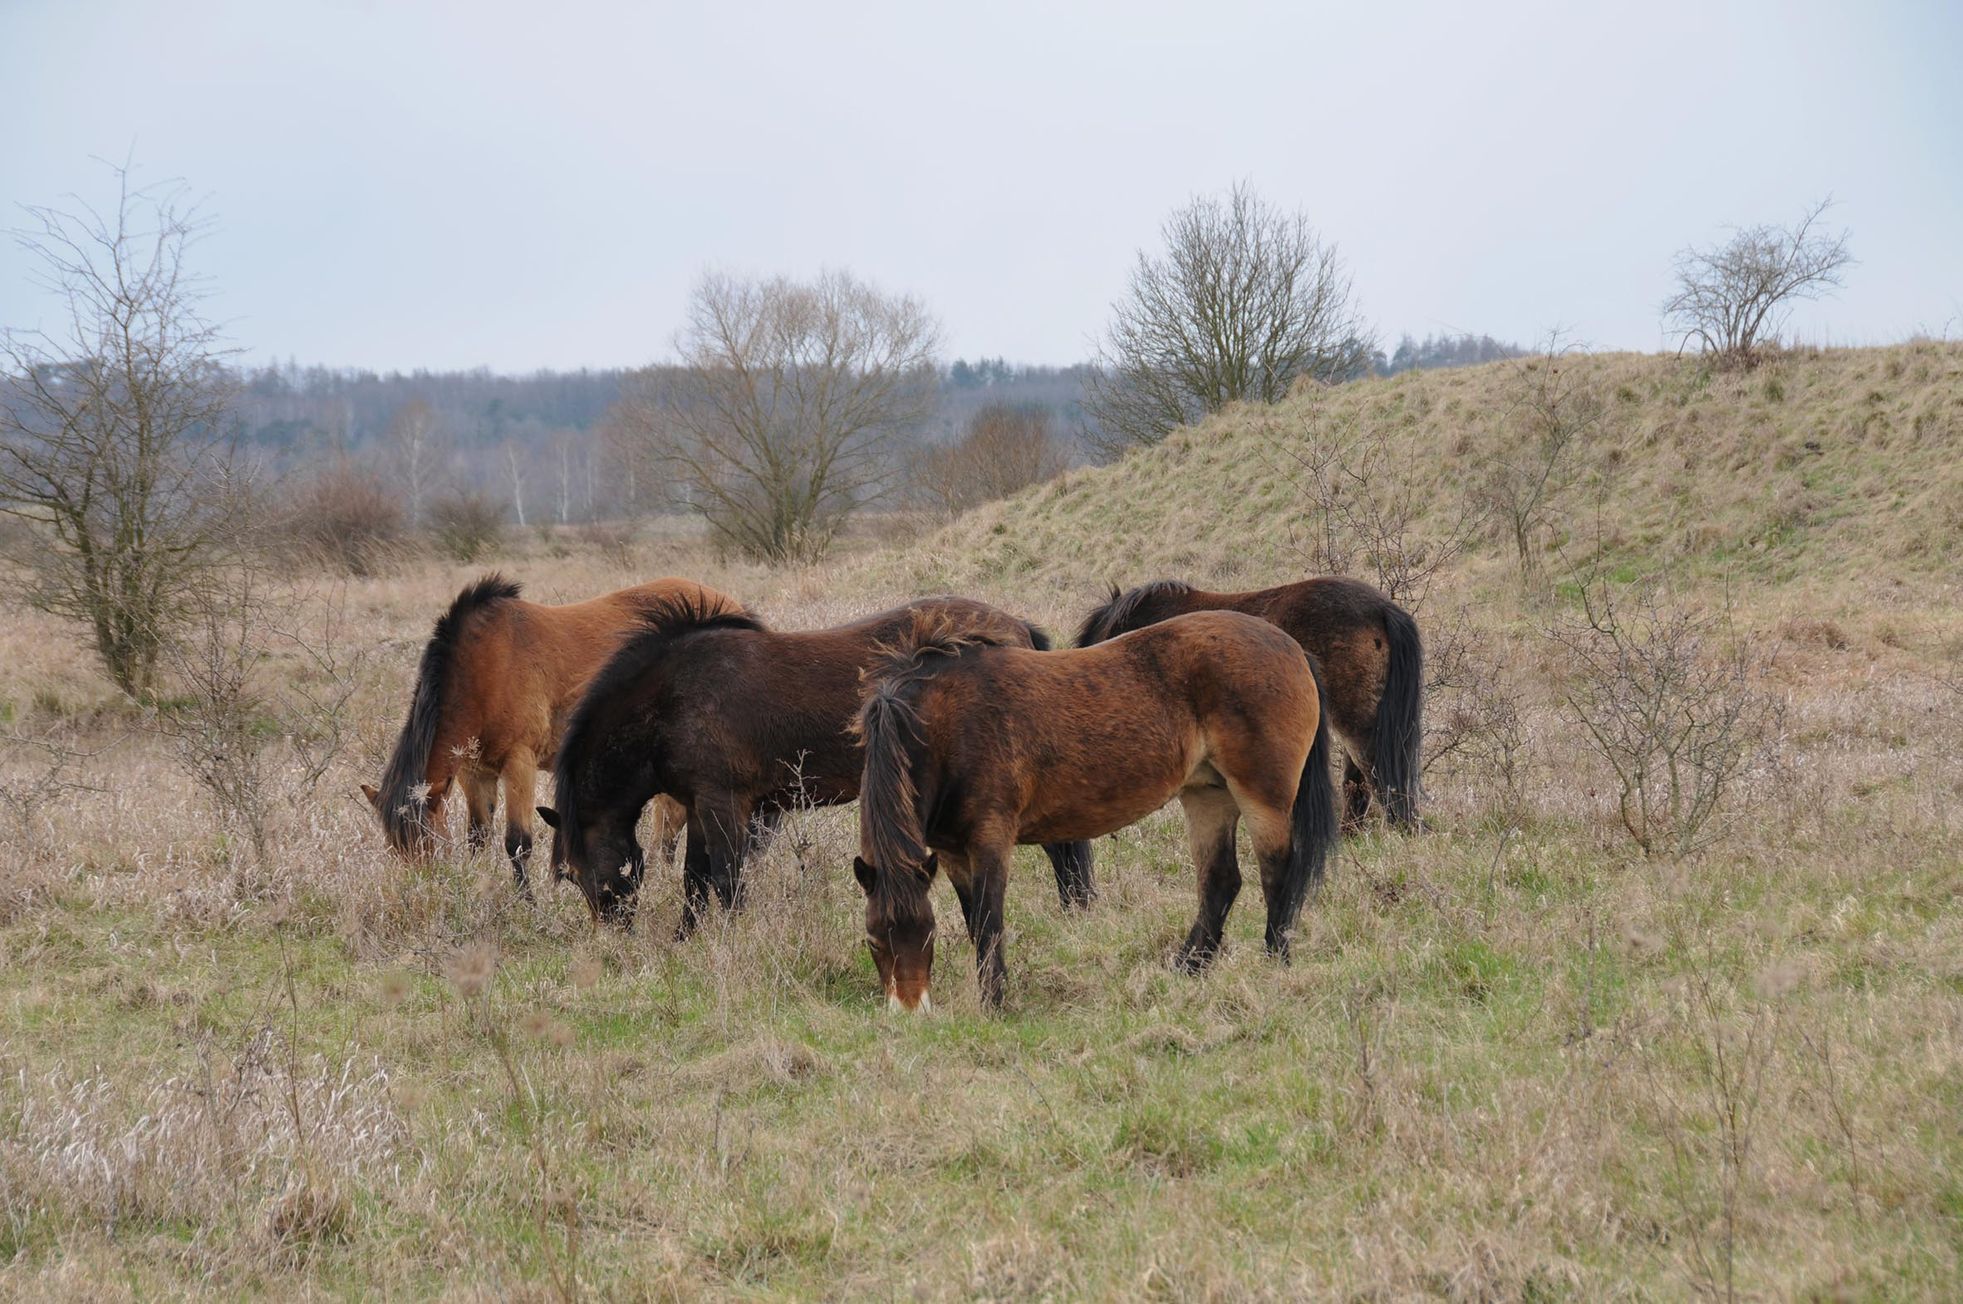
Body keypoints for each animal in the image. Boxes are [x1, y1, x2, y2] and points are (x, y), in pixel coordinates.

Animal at [365, 573, 738, 895]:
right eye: (395, 848)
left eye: (429, 844)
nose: (421, 889)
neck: (485, 669)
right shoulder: (475, 773)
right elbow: (478, 838)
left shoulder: (520, 761)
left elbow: (517, 843)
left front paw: (527, 901)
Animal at [533, 593, 1091, 938]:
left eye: (581, 873)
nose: (615, 938)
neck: (673, 698)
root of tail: (1019, 630)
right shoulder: (697, 807)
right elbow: (694, 881)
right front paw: (684, 941)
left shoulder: (724, 805)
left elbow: (726, 883)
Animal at [851, 604, 1342, 1013]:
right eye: (873, 940)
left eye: (928, 935)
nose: (910, 1011)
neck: (943, 725)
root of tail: (1292, 647)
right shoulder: (951, 853)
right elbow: (975, 924)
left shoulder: (990, 840)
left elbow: (990, 923)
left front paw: (995, 1003)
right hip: (1208, 795)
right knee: (1220, 881)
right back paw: (1188, 967)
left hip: (1262, 797)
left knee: (1278, 874)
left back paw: (1274, 959)